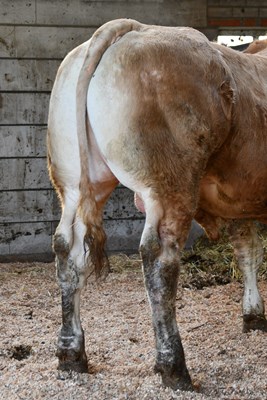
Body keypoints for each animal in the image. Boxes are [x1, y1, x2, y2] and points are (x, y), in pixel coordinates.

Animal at [47, 20, 267, 392]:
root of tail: (131, 28)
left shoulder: (239, 198)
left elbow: (247, 249)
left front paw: (253, 315)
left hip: (74, 182)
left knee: (69, 251)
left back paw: (71, 353)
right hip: (169, 186)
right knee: (159, 259)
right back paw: (173, 366)